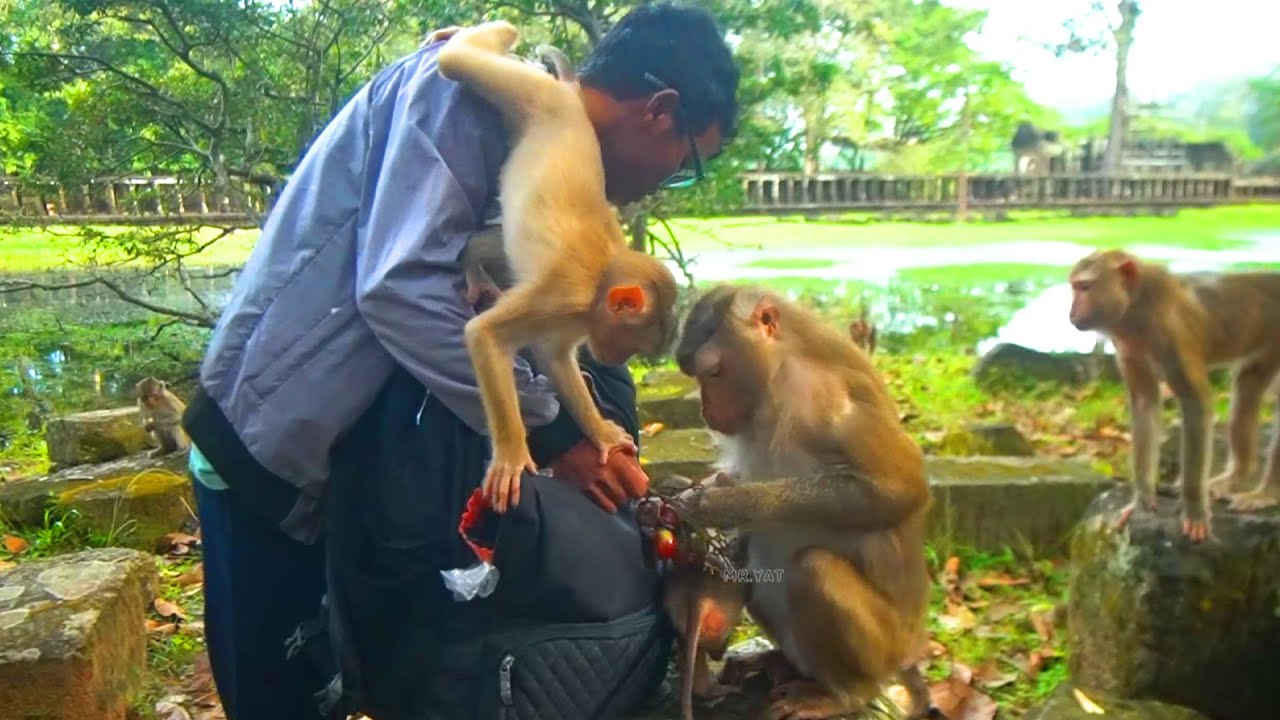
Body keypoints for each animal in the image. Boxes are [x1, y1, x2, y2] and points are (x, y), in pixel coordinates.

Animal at [436, 22, 680, 513]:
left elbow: (554, 357)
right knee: (458, 64)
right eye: (633, 343)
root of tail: (570, 99)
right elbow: (485, 335)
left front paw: (601, 433)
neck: (600, 281)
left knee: (491, 241)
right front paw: (512, 455)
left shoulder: (573, 318)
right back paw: (480, 35)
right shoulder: (561, 295)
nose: (617, 360)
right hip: (535, 97)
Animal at [668, 284, 941, 720]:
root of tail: (907, 649)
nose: (705, 408)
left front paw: (726, 504)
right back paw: (780, 663)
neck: (779, 374)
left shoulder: (826, 399)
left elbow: (901, 489)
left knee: (814, 570)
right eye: (695, 376)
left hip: (884, 647)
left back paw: (845, 694)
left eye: (714, 372)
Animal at [1067, 249, 1280, 543]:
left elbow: (1195, 402)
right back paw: (1236, 477)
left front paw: (1194, 509)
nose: (1072, 313)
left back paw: (1266, 494)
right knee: (1248, 384)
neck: (1137, 309)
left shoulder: (1172, 334)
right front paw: (1142, 500)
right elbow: (1144, 403)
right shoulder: (1127, 347)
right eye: (1074, 287)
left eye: (1085, 287)